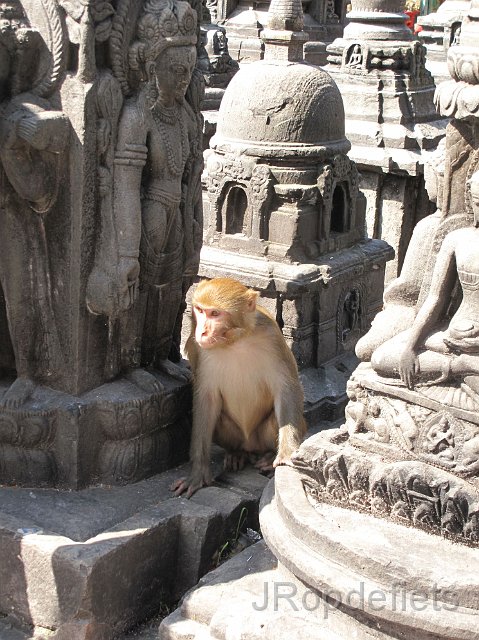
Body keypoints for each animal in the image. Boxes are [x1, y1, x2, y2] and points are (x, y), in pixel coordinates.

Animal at [172, 278, 308, 498]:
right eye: (200, 310)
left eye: (215, 313)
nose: (202, 332)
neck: (234, 342)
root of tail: (250, 446)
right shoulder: (199, 349)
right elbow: (206, 401)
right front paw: (198, 473)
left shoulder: (271, 336)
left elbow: (286, 389)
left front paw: (286, 453)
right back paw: (236, 453)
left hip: (261, 438)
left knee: (274, 420)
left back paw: (268, 456)